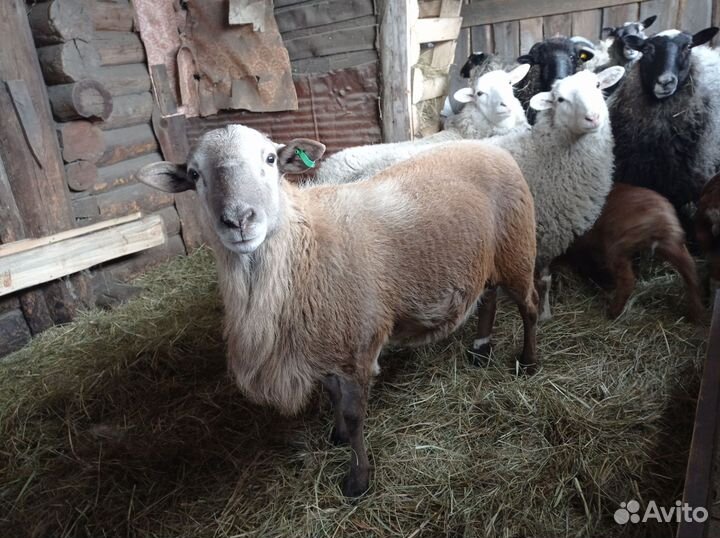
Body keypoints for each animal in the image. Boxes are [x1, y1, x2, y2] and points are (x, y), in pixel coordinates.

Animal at [136, 125, 539, 497]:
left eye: (271, 159)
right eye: (194, 175)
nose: (238, 220)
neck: (305, 245)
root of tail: (488, 145)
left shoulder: (356, 348)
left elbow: (354, 414)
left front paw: (357, 479)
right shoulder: (324, 342)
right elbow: (331, 395)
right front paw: (338, 436)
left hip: (518, 247)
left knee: (529, 307)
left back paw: (528, 362)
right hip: (487, 258)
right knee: (489, 296)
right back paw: (481, 350)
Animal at [469, 66, 625, 358]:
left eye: (598, 85)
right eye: (561, 99)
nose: (593, 117)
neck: (542, 156)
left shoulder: (547, 233)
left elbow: (546, 280)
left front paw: (546, 313)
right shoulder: (537, 234)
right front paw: (541, 315)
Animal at [563, 183, 703, 321]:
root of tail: (657, 216)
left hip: (618, 247)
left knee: (627, 281)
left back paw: (613, 312)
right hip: (671, 243)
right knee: (690, 270)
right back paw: (695, 314)